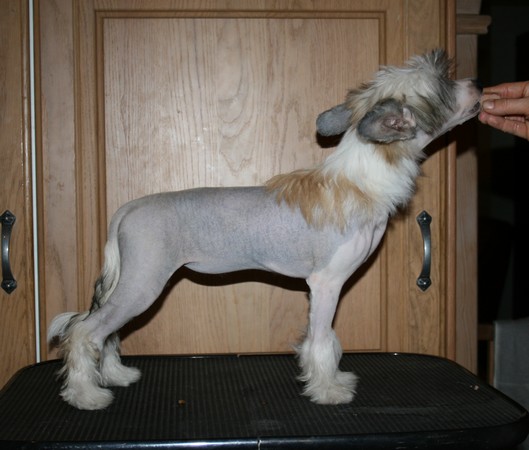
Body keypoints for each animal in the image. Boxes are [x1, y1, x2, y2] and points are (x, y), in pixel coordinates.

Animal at [48, 49, 482, 410]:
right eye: (443, 81)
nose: (479, 83)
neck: (361, 177)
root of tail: (128, 208)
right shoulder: (326, 283)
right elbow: (321, 341)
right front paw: (328, 391)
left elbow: (325, 340)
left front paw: (331, 380)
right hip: (143, 285)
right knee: (85, 332)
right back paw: (86, 395)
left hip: (132, 285)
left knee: (104, 333)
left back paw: (115, 375)